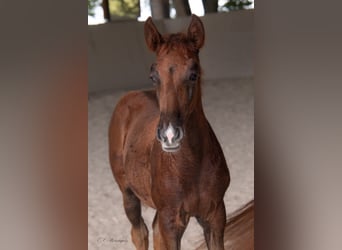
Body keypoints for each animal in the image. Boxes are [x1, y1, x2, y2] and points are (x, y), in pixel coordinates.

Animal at [107, 14, 230, 249]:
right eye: (153, 76)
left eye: (193, 74)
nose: (170, 134)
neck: (190, 167)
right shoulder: (171, 222)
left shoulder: (216, 215)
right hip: (128, 194)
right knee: (140, 232)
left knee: (153, 230)